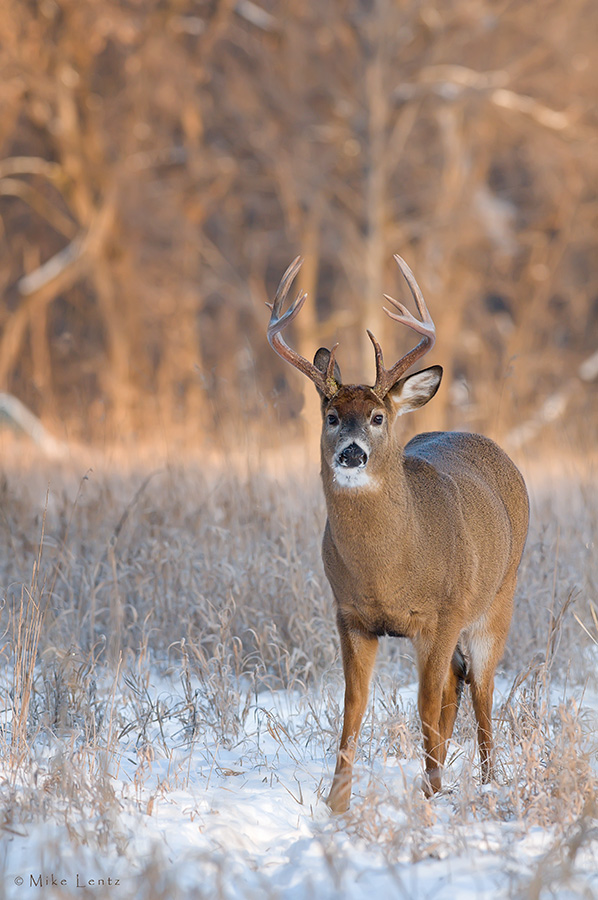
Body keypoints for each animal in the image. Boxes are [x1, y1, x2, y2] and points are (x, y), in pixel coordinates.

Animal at [268, 255, 528, 816]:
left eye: (377, 416)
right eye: (332, 416)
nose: (351, 452)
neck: (387, 568)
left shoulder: (441, 614)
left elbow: (425, 706)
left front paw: (430, 798)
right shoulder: (350, 615)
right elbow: (354, 705)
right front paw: (337, 803)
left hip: (497, 598)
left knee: (481, 690)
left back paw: (487, 781)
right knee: (457, 685)